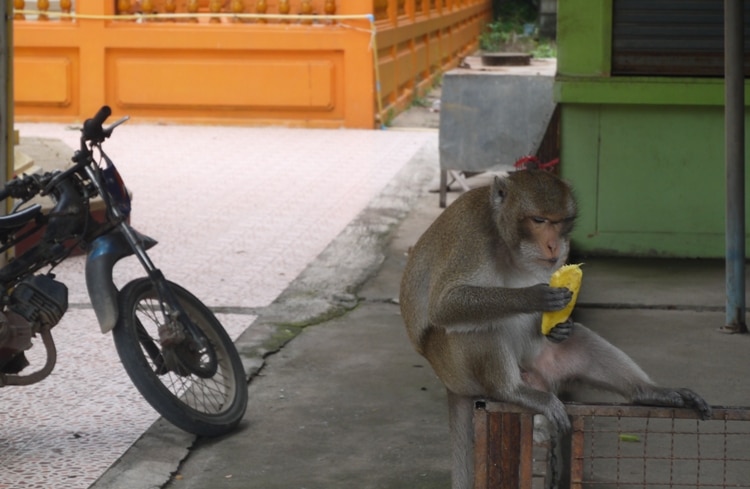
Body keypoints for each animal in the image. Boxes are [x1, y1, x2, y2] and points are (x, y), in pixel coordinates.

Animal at [400, 169, 712, 488]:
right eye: (539, 220)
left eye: (560, 222)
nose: (553, 245)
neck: (506, 243)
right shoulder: (473, 237)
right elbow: (444, 306)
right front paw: (533, 297)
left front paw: (559, 328)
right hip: (454, 366)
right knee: (478, 328)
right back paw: (511, 390)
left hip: (541, 364)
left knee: (578, 341)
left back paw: (647, 391)